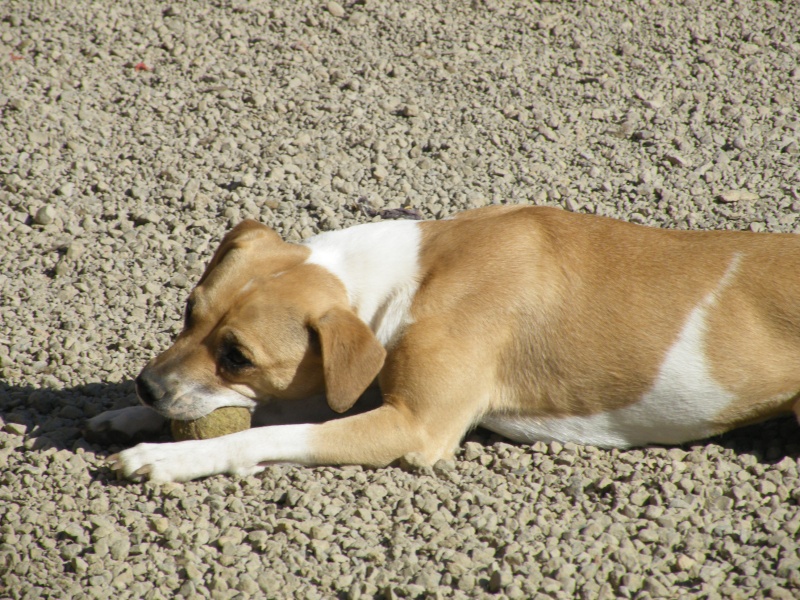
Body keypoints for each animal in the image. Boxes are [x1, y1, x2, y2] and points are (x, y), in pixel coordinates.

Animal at [92, 206, 800, 482]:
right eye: (188, 311)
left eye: (238, 356)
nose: (146, 386)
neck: (411, 276)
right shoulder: (358, 384)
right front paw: (124, 415)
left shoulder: (414, 426)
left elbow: (267, 432)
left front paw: (166, 456)